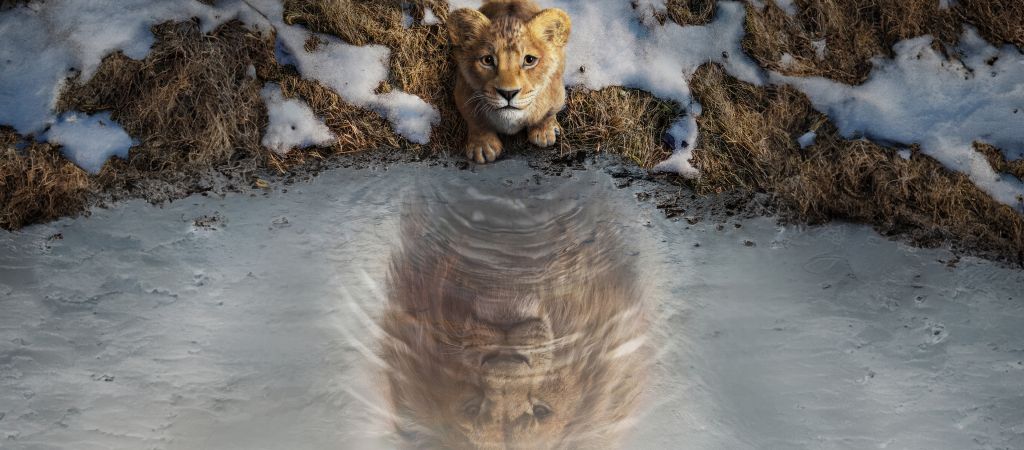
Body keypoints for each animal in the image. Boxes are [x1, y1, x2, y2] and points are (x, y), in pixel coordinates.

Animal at [448, 0, 572, 164]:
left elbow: (548, 113)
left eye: (529, 60)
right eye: (487, 60)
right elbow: (475, 120)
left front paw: (544, 132)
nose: (508, 93)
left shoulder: (557, 93)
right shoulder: (463, 93)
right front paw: (483, 147)